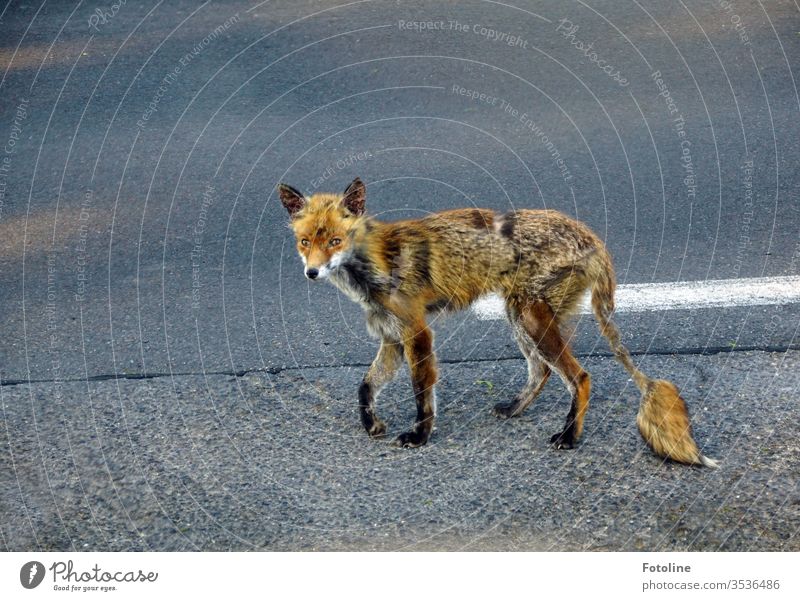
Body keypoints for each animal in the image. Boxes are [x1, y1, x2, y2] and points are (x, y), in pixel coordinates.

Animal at [278, 176, 716, 466]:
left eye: (335, 241)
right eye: (306, 242)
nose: (311, 273)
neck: (376, 263)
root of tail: (590, 234)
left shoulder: (417, 332)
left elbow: (422, 393)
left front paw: (420, 436)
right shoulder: (391, 336)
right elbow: (365, 387)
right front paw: (372, 425)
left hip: (530, 316)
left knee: (579, 377)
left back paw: (570, 437)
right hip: (520, 317)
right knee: (541, 371)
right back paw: (516, 410)